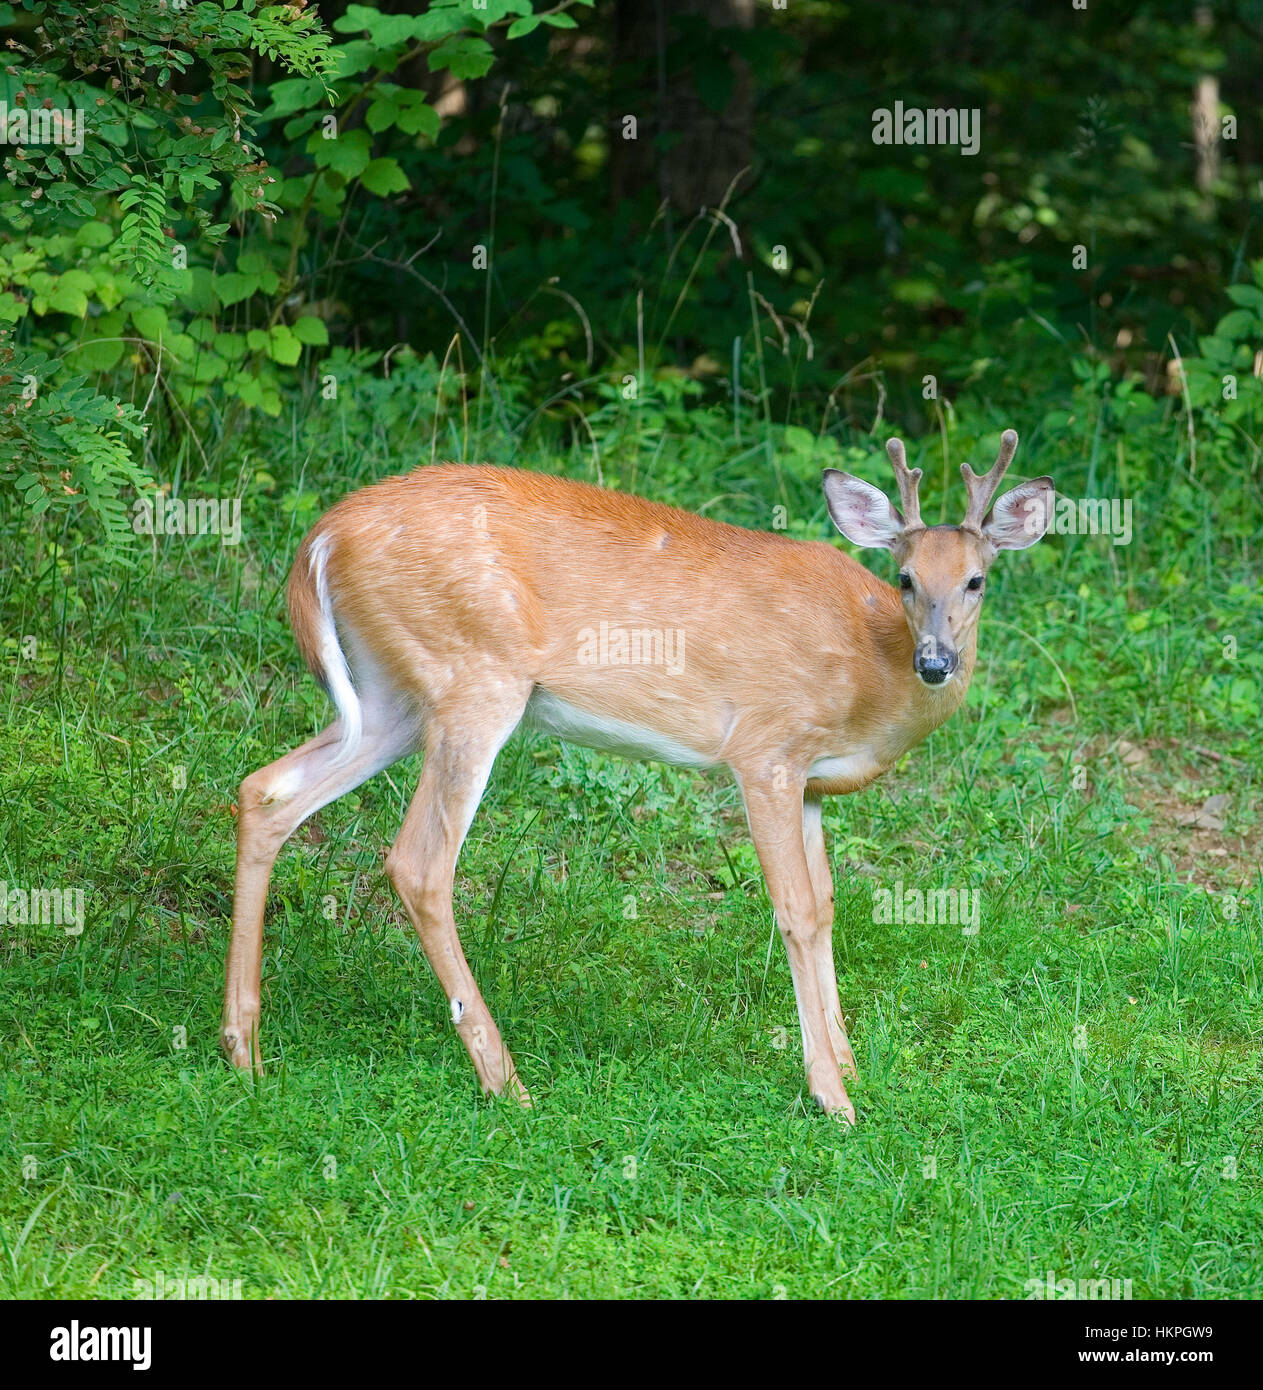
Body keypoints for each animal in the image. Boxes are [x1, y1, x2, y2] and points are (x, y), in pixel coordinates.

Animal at [222, 428, 1050, 1123]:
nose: (935, 662)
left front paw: (847, 1065)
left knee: (266, 790)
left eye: (975, 580)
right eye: (905, 577)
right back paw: (506, 1082)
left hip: (389, 696)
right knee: (419, 862)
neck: (870, 669)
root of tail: (321, 538)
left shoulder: (813, 784)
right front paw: (830, 1096)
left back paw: (244, 1051)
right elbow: (794, 911)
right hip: (472, 675)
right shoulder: (766, 750)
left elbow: (825, 907)